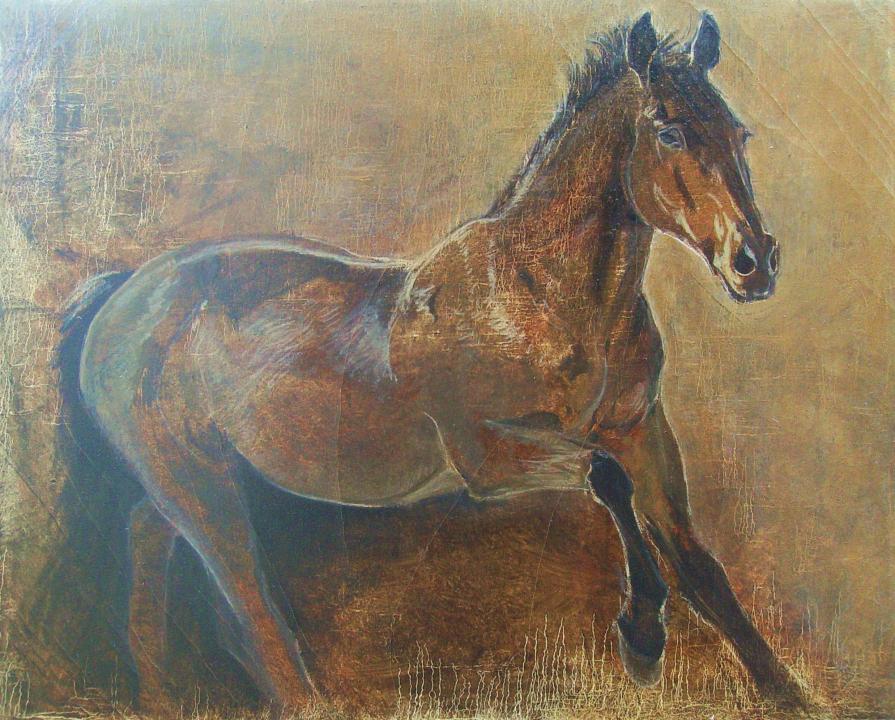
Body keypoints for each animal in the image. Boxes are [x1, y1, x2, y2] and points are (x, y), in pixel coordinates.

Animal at [58, 11, 807, 712]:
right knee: (250, 610)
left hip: (177, 485)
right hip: (200, 484)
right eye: (669, 132)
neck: (544, 293)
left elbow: (696, 562)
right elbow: (606, 481)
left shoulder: (642, 431)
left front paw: (785, 692)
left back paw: (156, 696)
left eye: (739, 133)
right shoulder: (488, 459)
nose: (753, 261)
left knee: (149, 560)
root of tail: (121, 296)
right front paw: (642, 638)